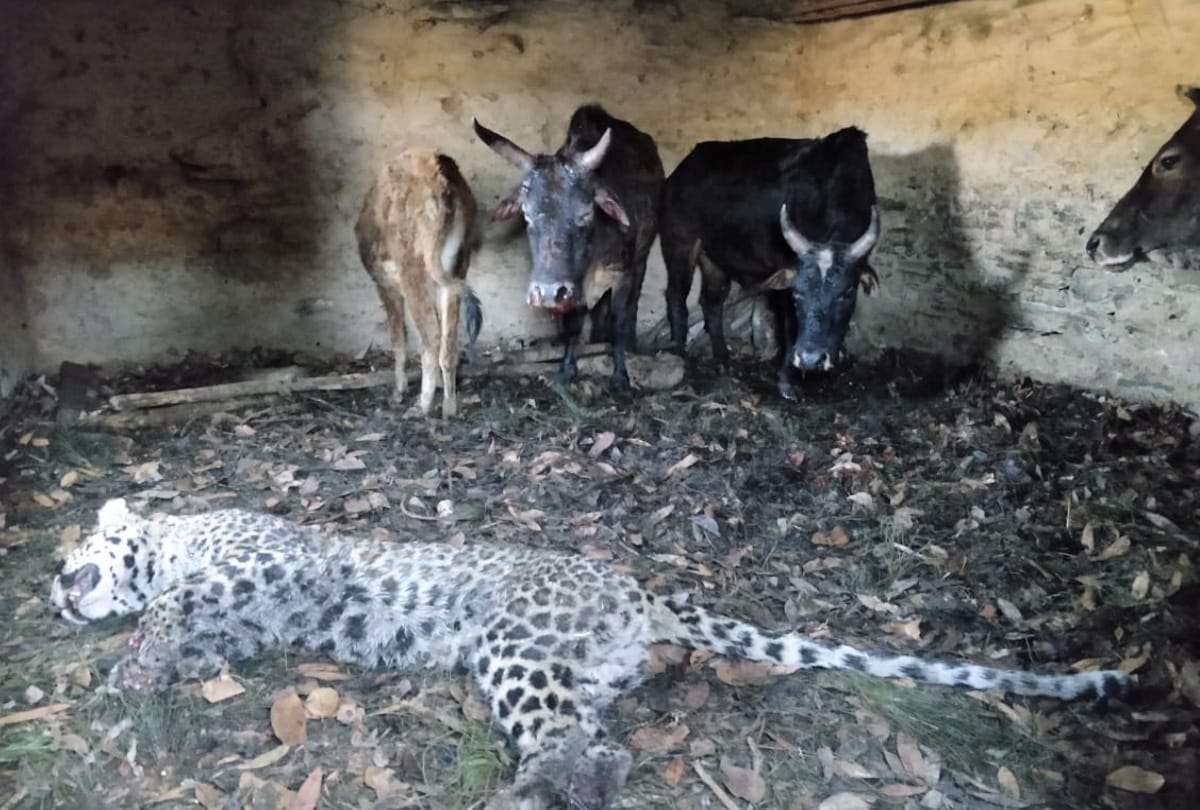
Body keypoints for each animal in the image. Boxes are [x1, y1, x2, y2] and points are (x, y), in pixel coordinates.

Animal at [50, 499, 1132, 809]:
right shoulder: (253, 623)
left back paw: (531, 792)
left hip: (511, 640)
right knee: (598, 737)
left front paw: (131, 662)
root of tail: (640, 592)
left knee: (576, 744)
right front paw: (147, 671)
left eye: (70, 554)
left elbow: (170, 606)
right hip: (568, 670)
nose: (56, 592)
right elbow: (191, 636)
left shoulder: (252, 567)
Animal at [355, 148, 482, 419]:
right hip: (458, 264)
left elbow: (398, 336)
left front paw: (398, 392)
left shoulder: (385, 284)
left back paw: (421, 406)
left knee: (431, 335)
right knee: (449, 339)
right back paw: (449, 407)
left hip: (413, 266)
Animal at [473, 105, 665, 390]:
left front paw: (621, 375)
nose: (547, 292)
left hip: (642, 256)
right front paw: (566, 369)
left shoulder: (623, 273)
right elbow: (573, 324)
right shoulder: (574, 289)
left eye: (585, 214)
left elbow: (619, 320)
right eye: (526, 214)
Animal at [660, 128, 880, 401]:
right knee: (676, 296)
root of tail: (680, 172)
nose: (810, 358)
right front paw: (787, 382)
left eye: (847, 293)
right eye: (797, 294)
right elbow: (788, 327)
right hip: (680, 245)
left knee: (711, 302)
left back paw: (723, 360)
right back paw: (680, 355)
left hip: (714, 260)